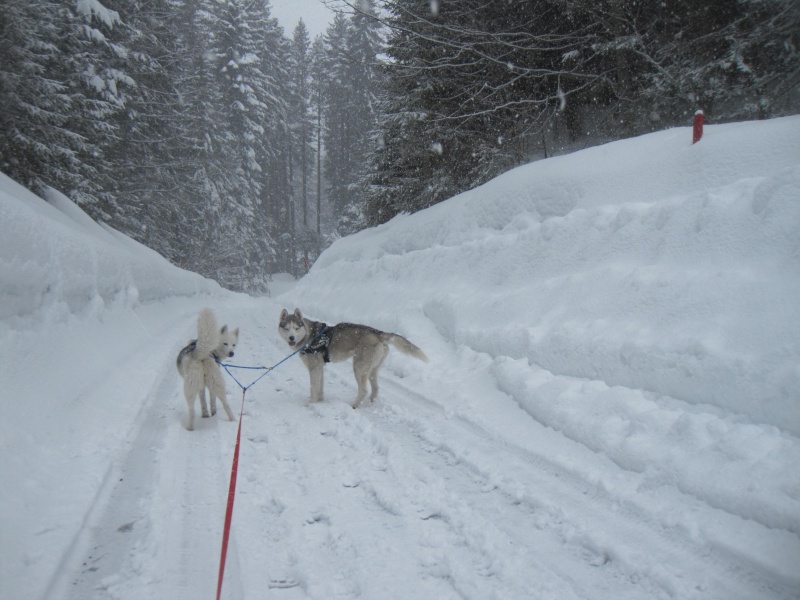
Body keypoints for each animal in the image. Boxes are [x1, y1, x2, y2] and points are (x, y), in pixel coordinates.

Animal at [276, 310, 424, 408]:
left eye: (296, 328)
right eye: (287, 328)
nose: (291, 338)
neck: (310, 335)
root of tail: (378, 332)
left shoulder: (314, 368)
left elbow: (313, 388)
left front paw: (311, 403)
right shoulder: (320, 368)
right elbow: (320, 387)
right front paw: (320, 401)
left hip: (358, 368)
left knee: (363, 390)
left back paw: (354, 405)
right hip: (372, 370)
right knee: (375, 389)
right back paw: (370, 402)